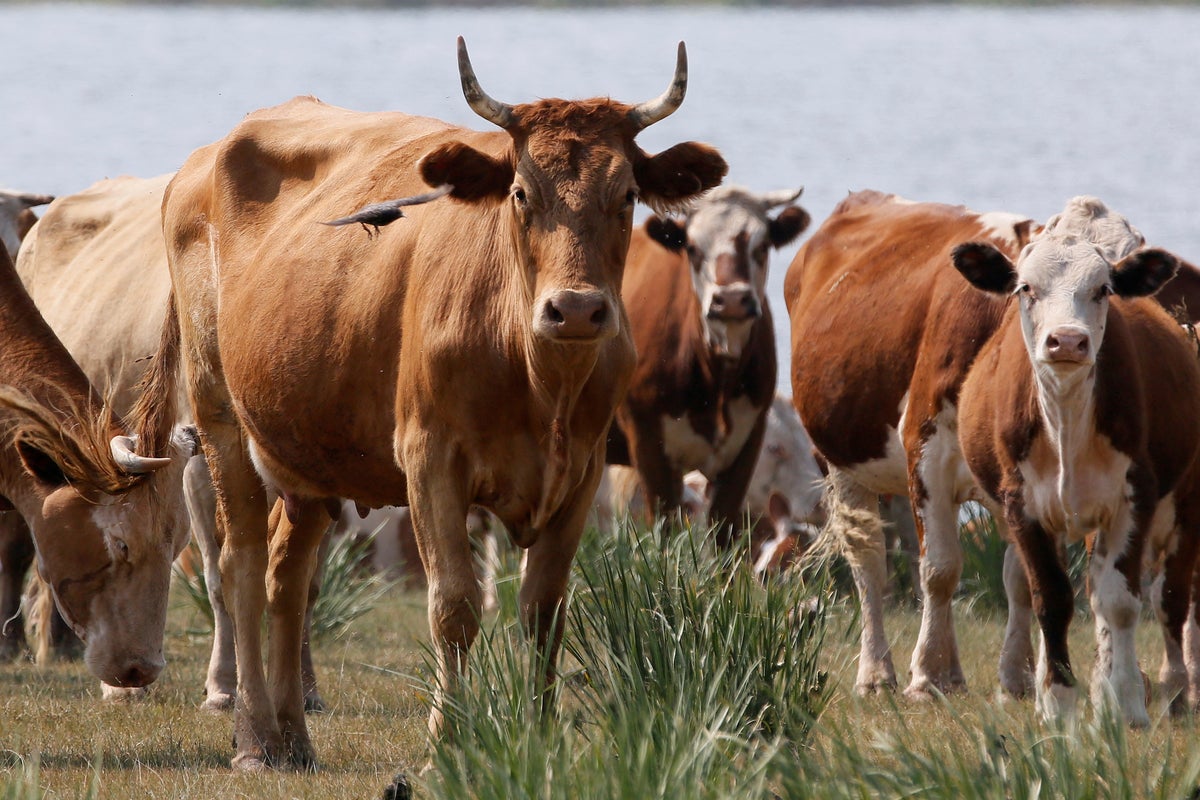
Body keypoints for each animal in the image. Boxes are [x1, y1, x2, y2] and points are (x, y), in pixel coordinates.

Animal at [149, 37, 726, 773]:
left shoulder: (584, 469)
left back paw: (291, 738)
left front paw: (538, 736)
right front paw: (446, 739)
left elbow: (544, 609)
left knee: (288, 574)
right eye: (520, 193)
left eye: (626, 195)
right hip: (219, 414)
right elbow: (454, 604)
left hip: (306, 450)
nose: (575, 309)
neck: (540, 380)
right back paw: (253, 738)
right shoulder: (430, 460)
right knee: (242, 564)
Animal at [607, 185, 809, 547]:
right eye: (693, 248)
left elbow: (723, 529)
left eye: (761, 245)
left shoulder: (747, 442)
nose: (730, 300)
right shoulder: (647, 443)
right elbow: (666, 527)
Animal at [785, 190, 1042, 700]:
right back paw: (876, 673)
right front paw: (927, 677)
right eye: (1029, 287)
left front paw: (1016, 680)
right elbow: (940, 570)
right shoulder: (926, 451)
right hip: (843, 462)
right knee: (869, 564)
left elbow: (1019, 576)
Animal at [953, 196, 1200, 726]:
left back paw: (1173, 689)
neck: (1067, 420)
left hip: (1185, 504)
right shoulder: (1021, 506)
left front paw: (1126, 702)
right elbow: (1051, 599)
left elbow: (1121, 601)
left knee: (1169, 598)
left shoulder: (1135, 498)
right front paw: (1057, 703)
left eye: (1103, 288)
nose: (1067, 340)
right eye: (1025, 287)